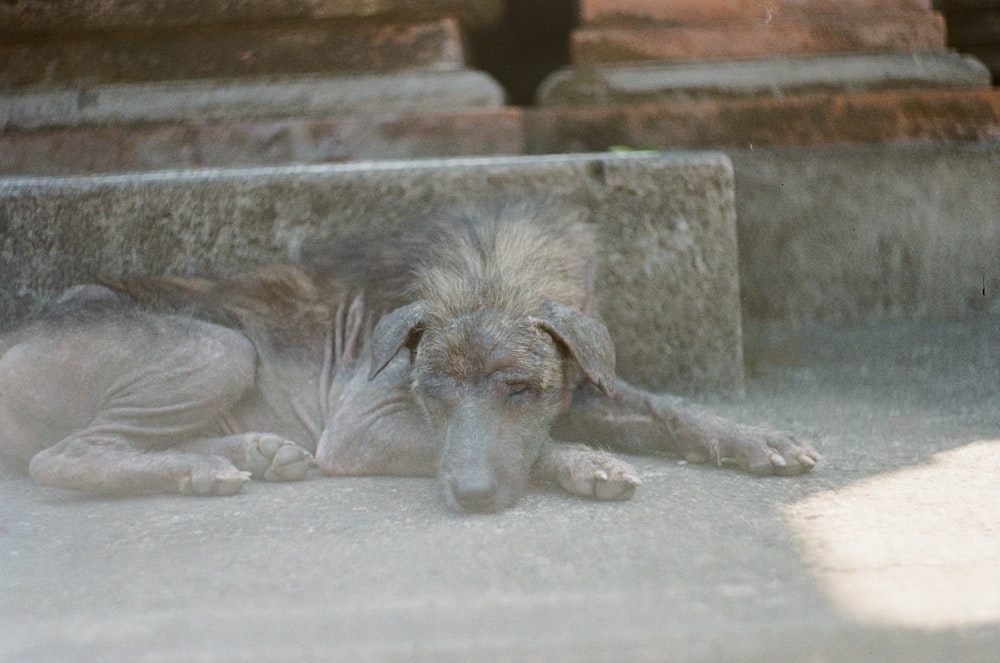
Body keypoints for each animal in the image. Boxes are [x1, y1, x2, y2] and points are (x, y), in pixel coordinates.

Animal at [0, 210, 820, 510]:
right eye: (433, 392)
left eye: (522, 389)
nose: (475, 497)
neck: (492, 275)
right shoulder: (358, 431)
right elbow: (540, 446)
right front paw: (582, 463)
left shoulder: (586, 386)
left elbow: (672, 410)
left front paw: (763, 440)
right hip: (217, 345)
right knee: (63, 455)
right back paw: (194, 470)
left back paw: (246, 454)